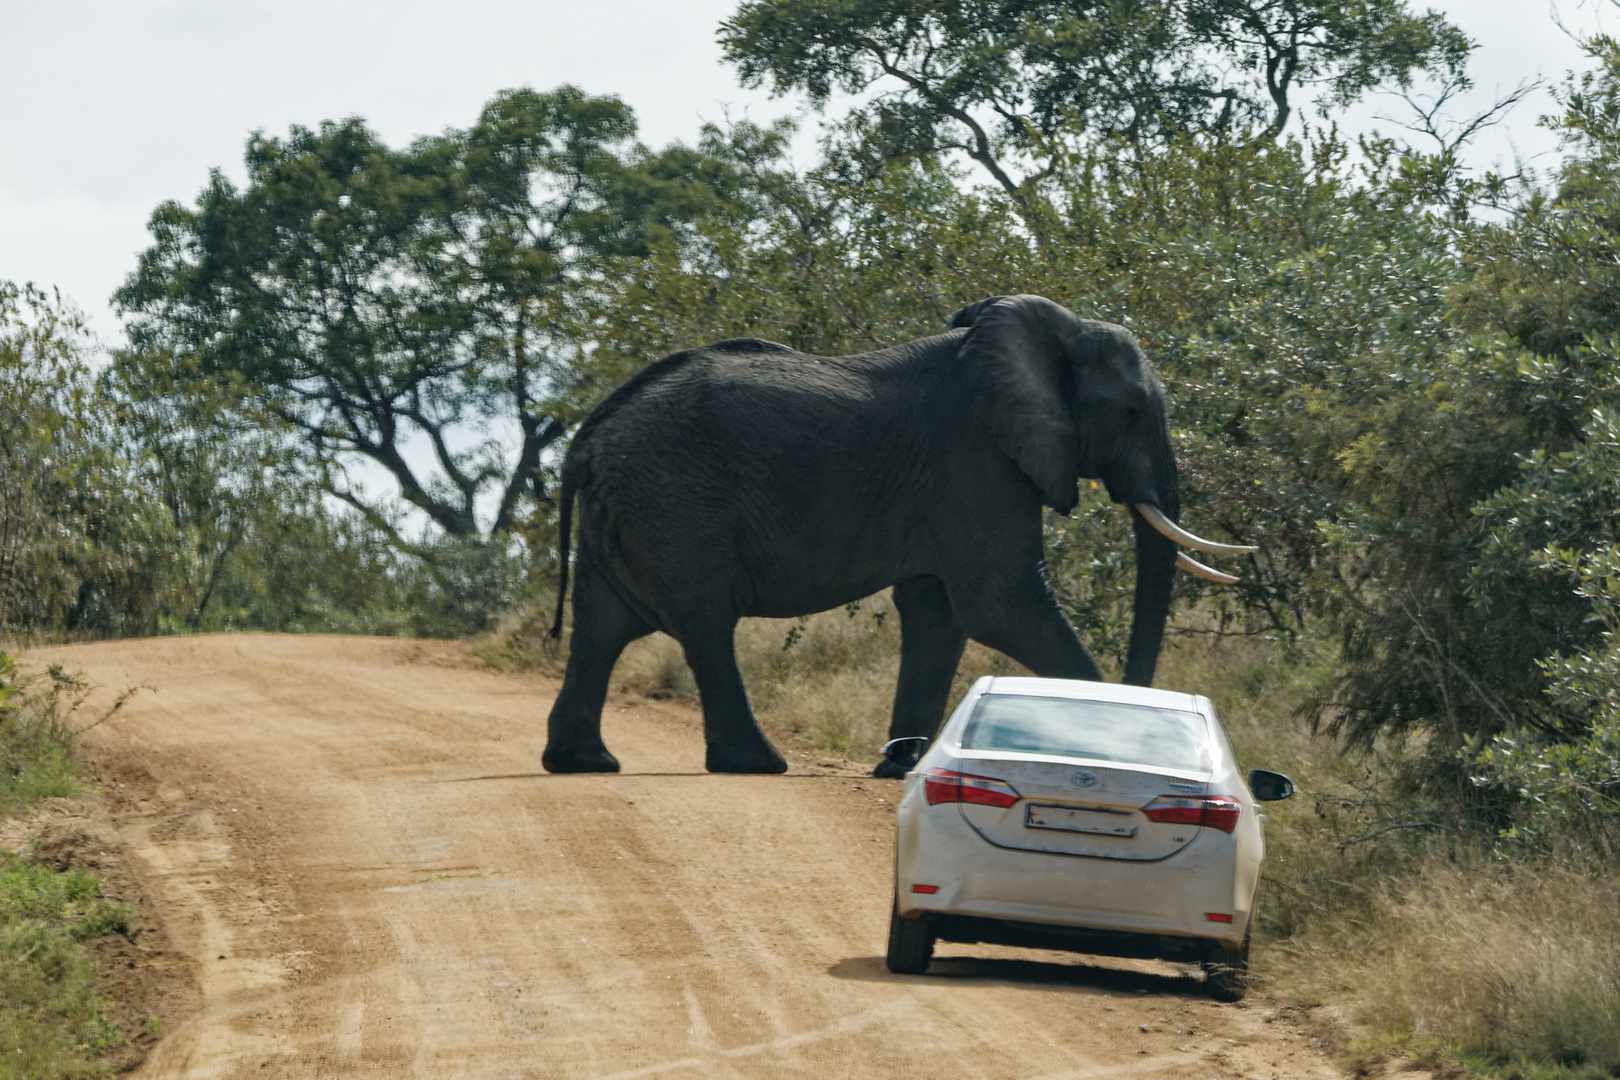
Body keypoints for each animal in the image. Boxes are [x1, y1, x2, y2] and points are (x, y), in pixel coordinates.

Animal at [544, 297, 1250, 777]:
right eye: (1131, 411)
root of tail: (586, 436)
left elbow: (939, 612)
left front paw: (897, 769)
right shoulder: (977, 456)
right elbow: (1001, 603)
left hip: (634, 508)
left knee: (602, 627)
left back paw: (584, 763)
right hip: (676, 504)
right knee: (706, 622)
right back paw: (755, 763)